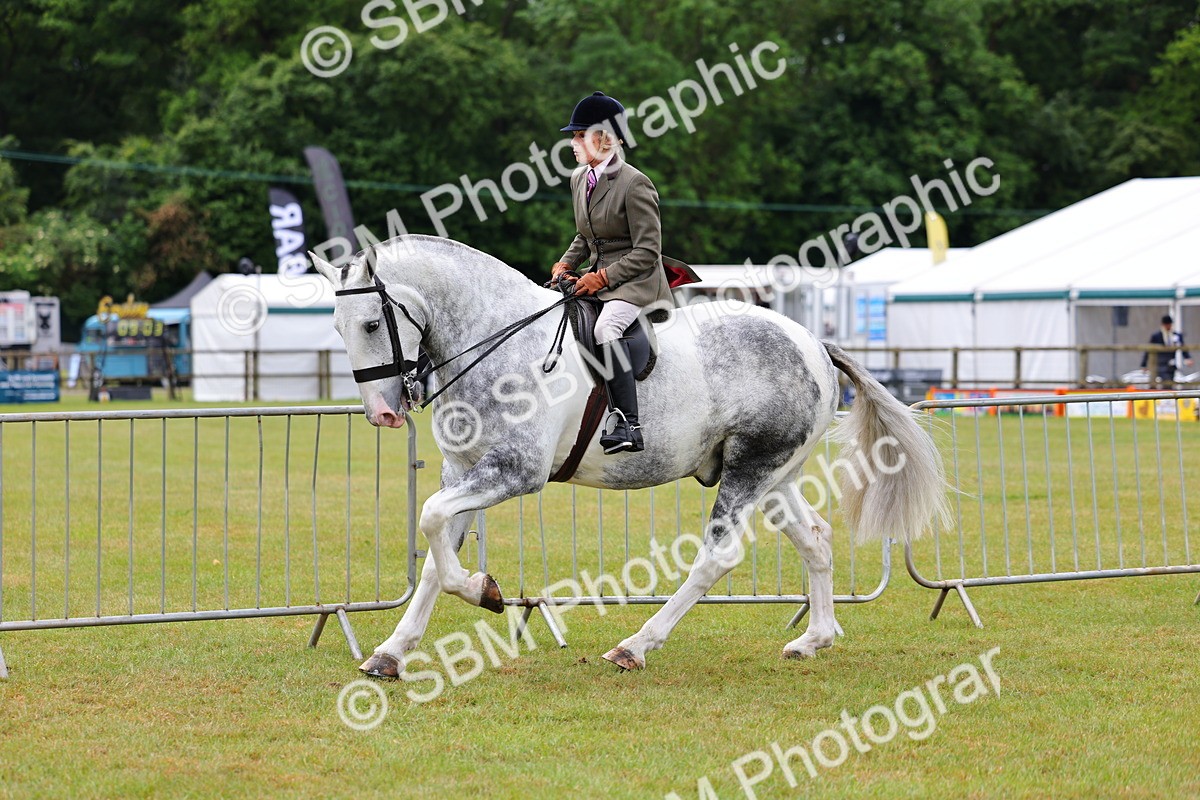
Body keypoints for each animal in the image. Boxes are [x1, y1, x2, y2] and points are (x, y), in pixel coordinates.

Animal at [310, 235, 947, 676]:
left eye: (372, 322)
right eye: (337, 328)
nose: (384, 414)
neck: (496, 340)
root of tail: (812, 341)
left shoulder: (514, 472)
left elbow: (432, 522)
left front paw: (482, 591)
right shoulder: (462, 471)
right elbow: (434, 551)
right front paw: (392, 652)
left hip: (750, 470)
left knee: (718, 557)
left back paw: (635, 646)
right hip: (773, 476)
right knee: (815, 538)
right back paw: (814, 639)